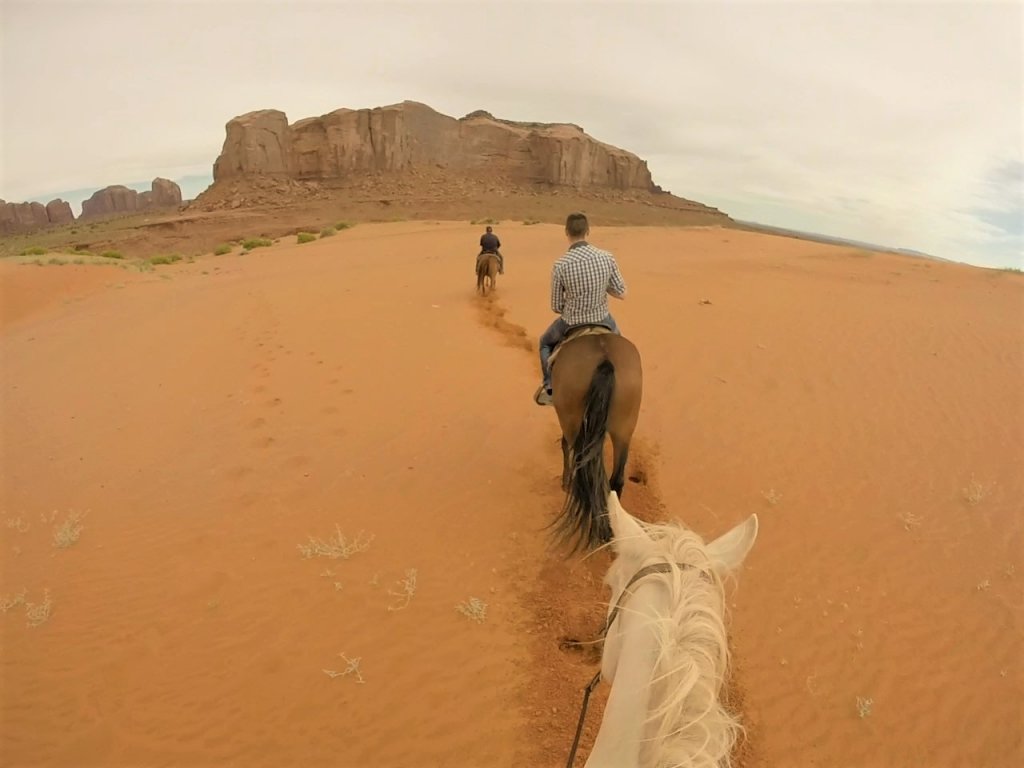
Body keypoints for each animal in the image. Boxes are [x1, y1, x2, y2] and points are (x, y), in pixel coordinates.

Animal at [548, 327, 643, 557]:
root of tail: (605, 359)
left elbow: (564, 447)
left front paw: (564, 483)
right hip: (624, 430)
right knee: (616, 480)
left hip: (572, 421)